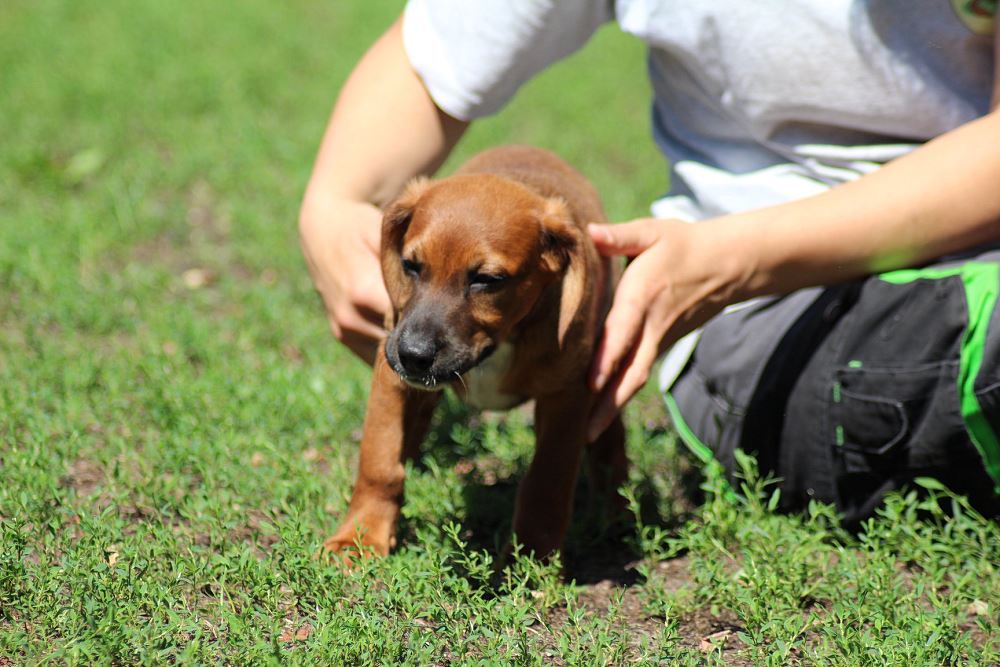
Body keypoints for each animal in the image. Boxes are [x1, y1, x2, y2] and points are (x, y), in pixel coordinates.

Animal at [323, 145, 627, 560]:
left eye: (487, 280)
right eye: (410, 266)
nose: (413, 354)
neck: (498, 346)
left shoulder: (567, 398)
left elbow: (546, 485)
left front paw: (529, 560)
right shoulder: (391, 373)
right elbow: (379, 460)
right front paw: (359, 538)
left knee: (611, 442)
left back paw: (616, 517)